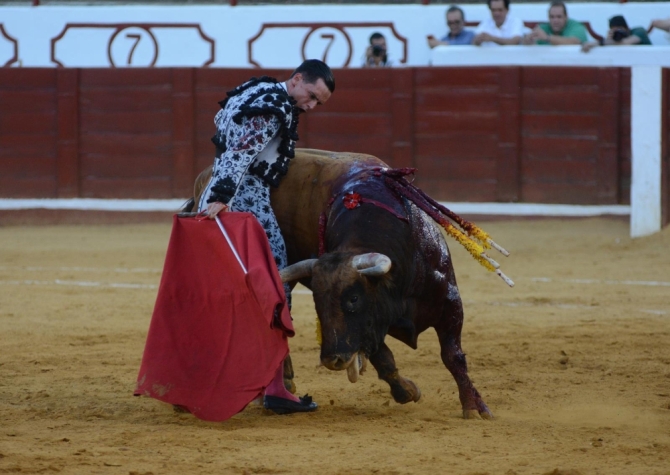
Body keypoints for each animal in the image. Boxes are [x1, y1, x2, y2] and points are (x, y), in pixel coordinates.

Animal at [186, 149, 512, 420]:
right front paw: (406, 391)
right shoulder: (374, 321)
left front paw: (475, 407)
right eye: (317, 302)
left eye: (353, 299)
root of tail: (204, 178)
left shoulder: (449, 303)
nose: (332, 360)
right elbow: (382, 354)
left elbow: (453, 356)